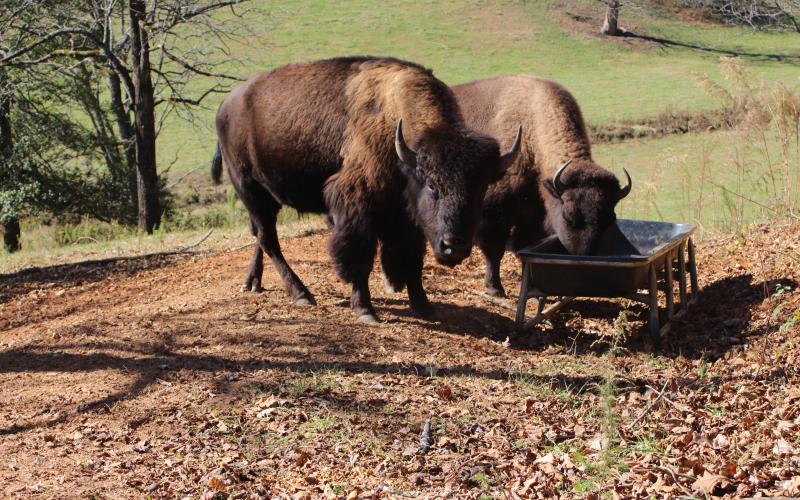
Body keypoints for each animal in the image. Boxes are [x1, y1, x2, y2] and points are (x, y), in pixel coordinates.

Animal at [213, 57, 521, 322]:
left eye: (481, 189)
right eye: (432, 185)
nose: (453, 246)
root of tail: (226, 105)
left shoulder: (406, 217)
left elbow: (412, 259)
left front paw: (424, 307)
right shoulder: (356, 205)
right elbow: (359, 256)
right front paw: (365, 310)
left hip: (266, 196)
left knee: (259, 234)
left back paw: (253, 282)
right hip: (249, 188)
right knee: (269, 239)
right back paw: (301, 294)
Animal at [452, 75, 632, 296]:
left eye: (610, 219)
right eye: (568, 216)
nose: (584, 257)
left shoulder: (532, 216)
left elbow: (525, 248)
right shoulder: (495, 213)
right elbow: (495, 250)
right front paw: (494, 288)